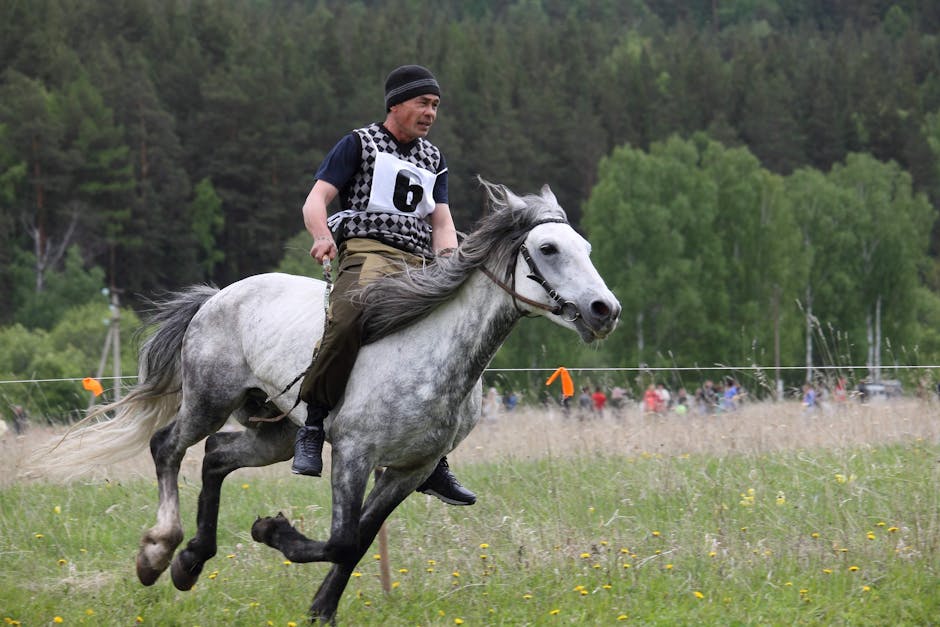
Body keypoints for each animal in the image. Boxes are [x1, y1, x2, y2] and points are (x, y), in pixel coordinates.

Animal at [40, 179, 621, 623]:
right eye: (548, 249)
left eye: (589, 250)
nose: (605, 310)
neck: (433, 353)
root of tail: (217, 296)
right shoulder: (355, 454)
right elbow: (342, 539)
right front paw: (270, 531)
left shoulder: (411, 468)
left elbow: (360, 539)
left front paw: (321, 607)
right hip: (209, 399)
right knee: (168, 446)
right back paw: (159, 551)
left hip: (277, 430)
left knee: (219, 456)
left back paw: (191, 562)